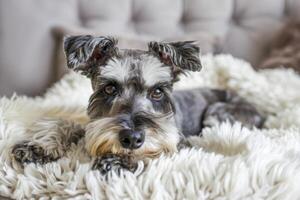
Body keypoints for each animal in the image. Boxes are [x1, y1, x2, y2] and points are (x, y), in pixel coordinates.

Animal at [11, 36, 264, 175]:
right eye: (110, 88)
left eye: (157, 92)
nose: (132, 139)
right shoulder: (96, 126)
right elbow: (70, 125)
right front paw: (39, 146)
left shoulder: (176, 144)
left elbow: (158, 150)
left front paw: (120, 160)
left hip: (216, 112)